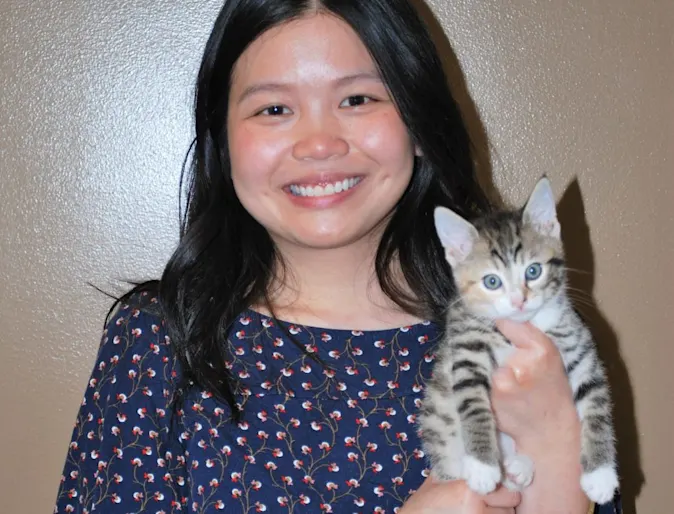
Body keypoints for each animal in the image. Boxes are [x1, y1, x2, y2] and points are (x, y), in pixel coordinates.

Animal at [418, 176, 616, 500]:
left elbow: (597, 405)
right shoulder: (466, 347)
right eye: (492, 281)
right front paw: (483, 466)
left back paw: (518, 468)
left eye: (533, 271)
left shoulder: (579, 345)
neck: (526, 326)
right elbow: (472, 403)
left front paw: (600, 475)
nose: (519, 301)